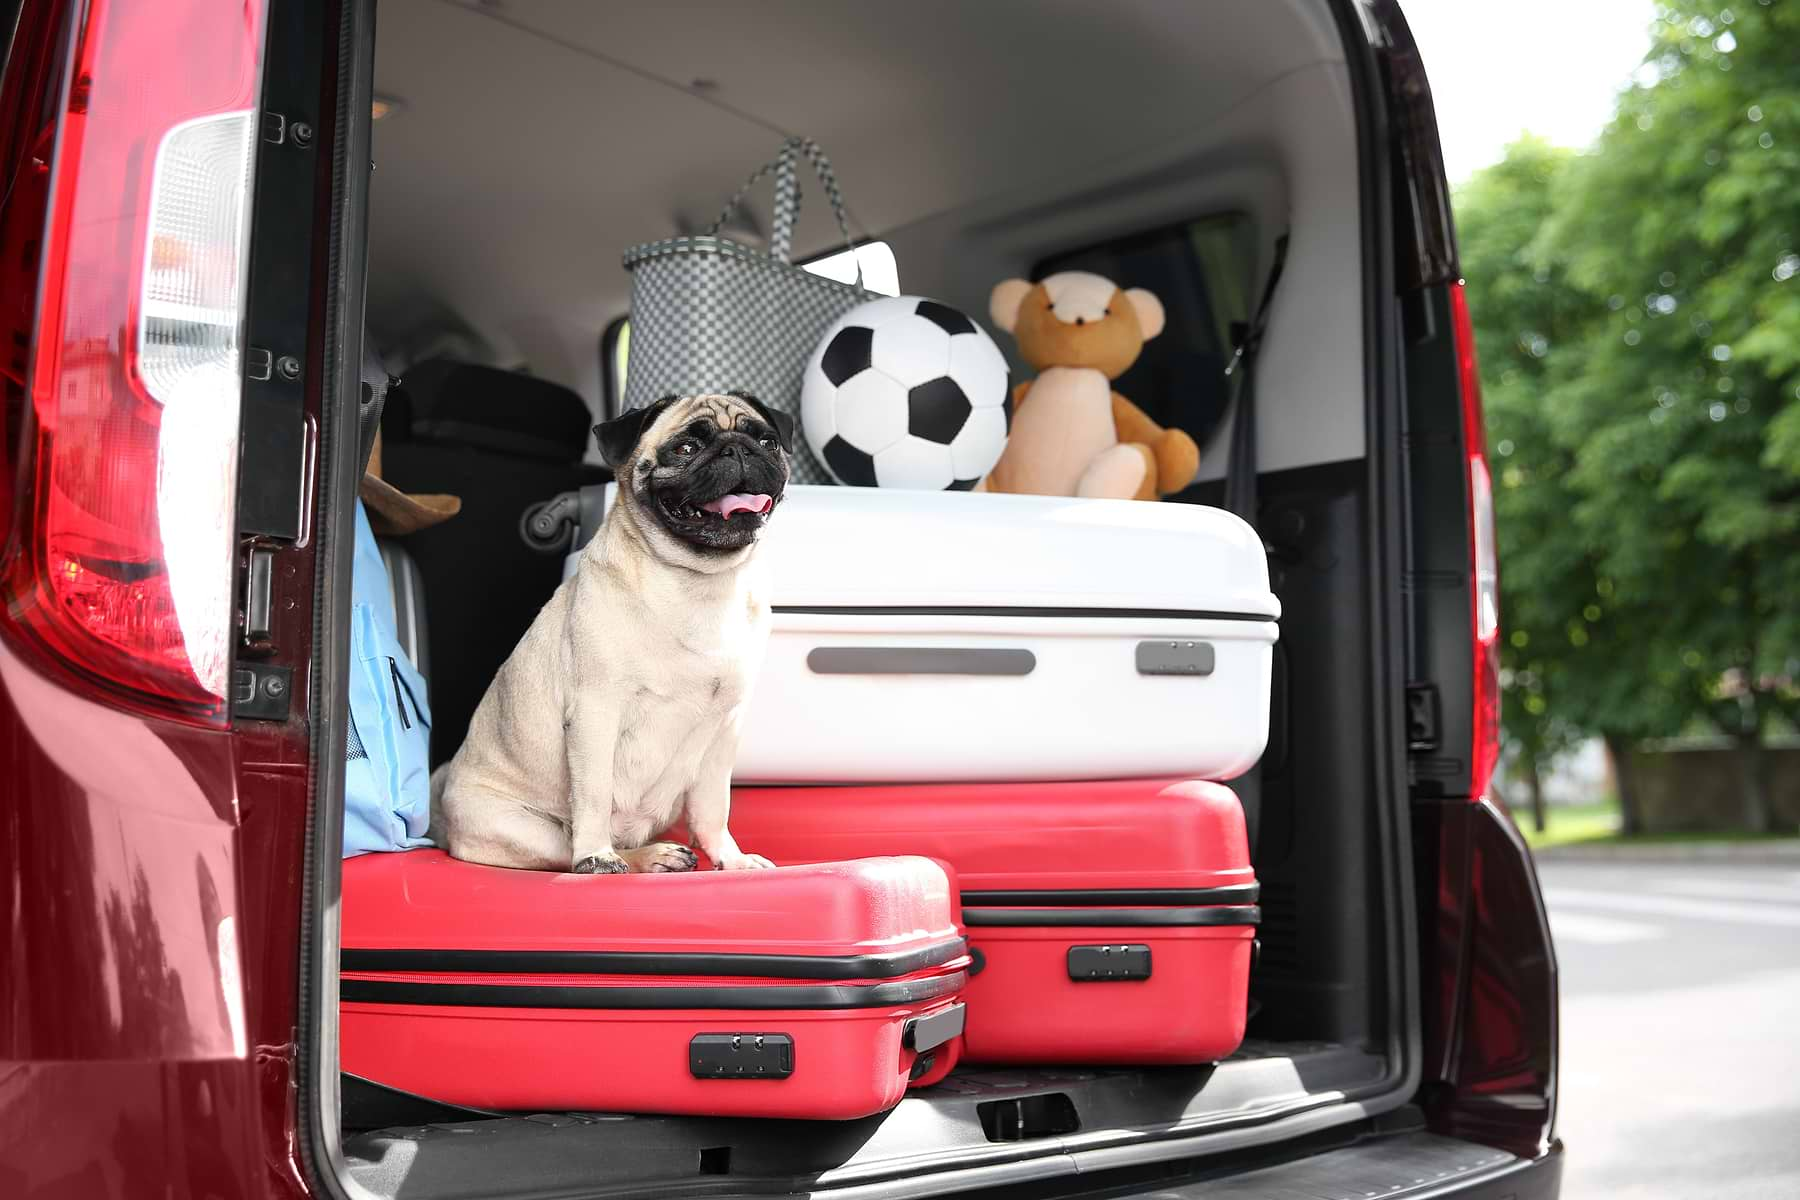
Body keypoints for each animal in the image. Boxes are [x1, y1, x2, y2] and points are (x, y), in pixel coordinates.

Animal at [432, 392, 792, 874]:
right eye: (685, 449)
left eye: (768, 442)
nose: (737, 449)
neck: (701, 583)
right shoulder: (595, 713)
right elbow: (595, 794)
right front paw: (596, 856)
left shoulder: (725, 728)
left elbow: (714, 806)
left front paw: (730, 860)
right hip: (524, 828)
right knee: (567, 848)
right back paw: (634, 856)